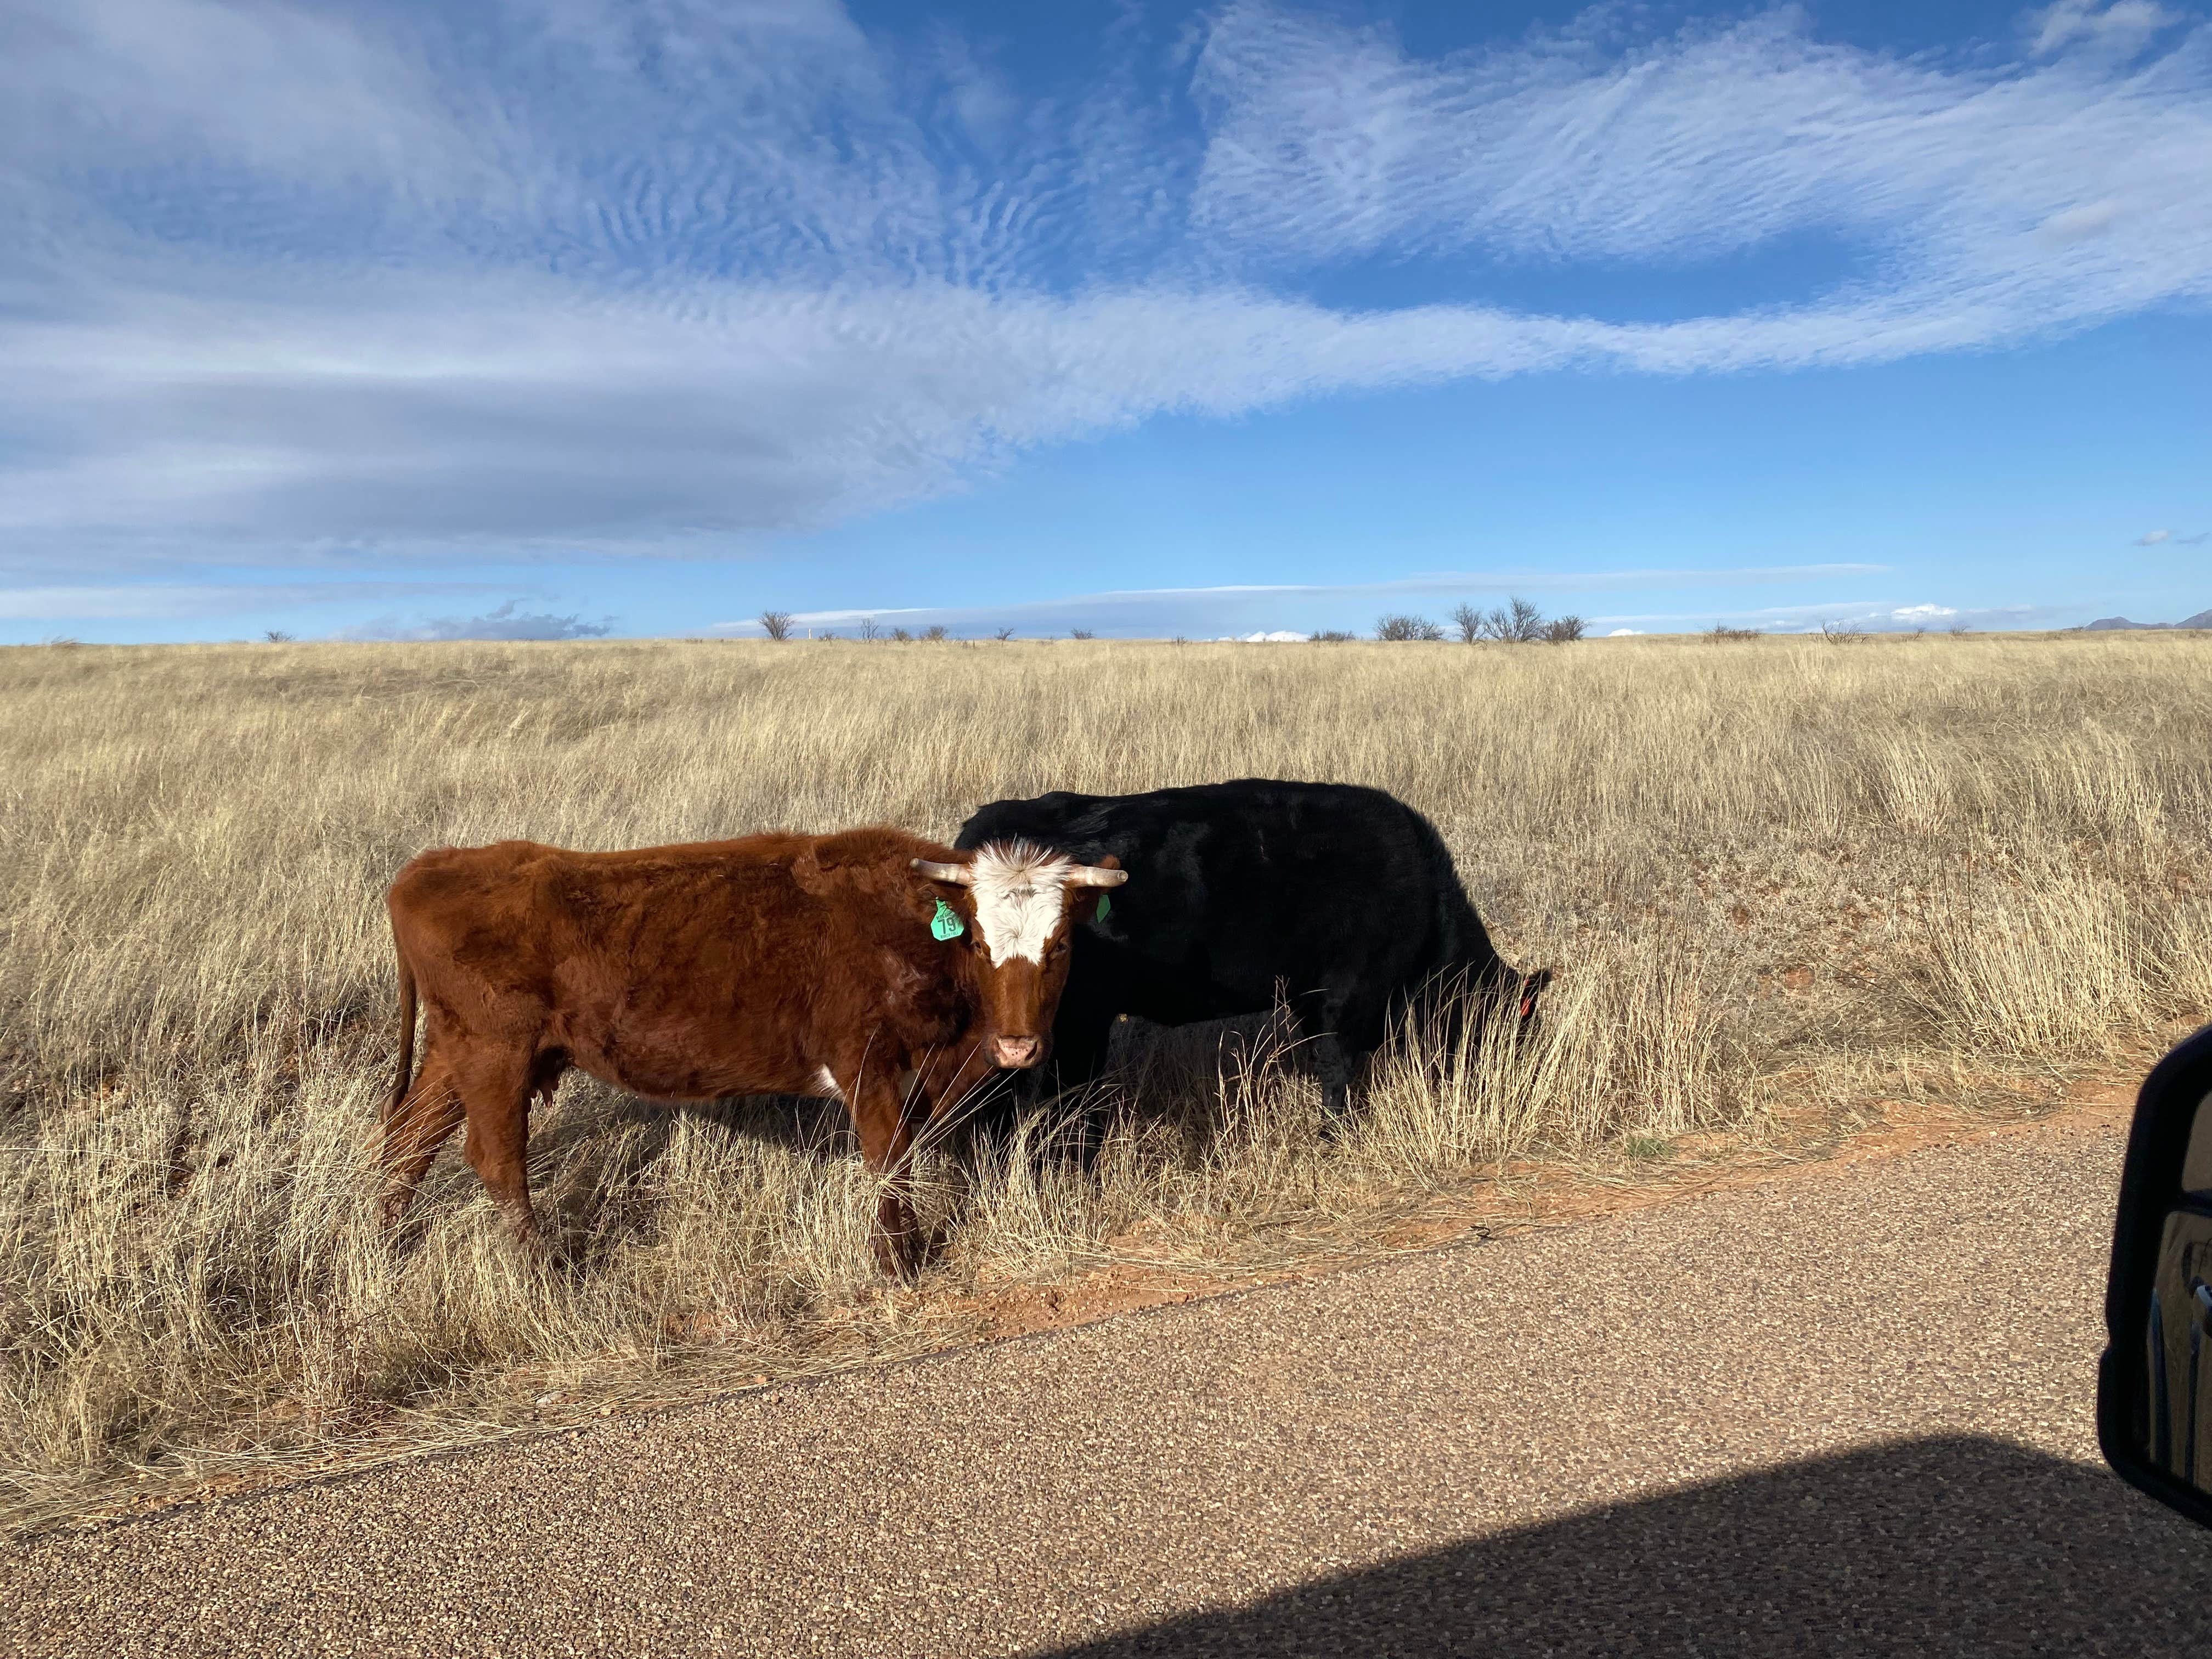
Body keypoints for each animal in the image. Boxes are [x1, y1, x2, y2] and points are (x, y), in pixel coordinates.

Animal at [378, 827, 1124, 1274]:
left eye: (1060, 945)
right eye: (977, 942)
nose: (1018, 1045)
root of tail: (431, 867)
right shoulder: (866, 1064)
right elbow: (888, 1159)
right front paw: (895, 1261)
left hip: (457, 1052)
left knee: (407, 1139)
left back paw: (388, 1243)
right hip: (496, 1056)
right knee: (496, 1158)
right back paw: (545, 1273)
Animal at [955, 778, 1557, 1119]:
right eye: (1514, 1023)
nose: (1514, 1080)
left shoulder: (1310, 995)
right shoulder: (1347, 992)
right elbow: (1337, 1069)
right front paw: (1336, 1134)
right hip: (1067, 1025)